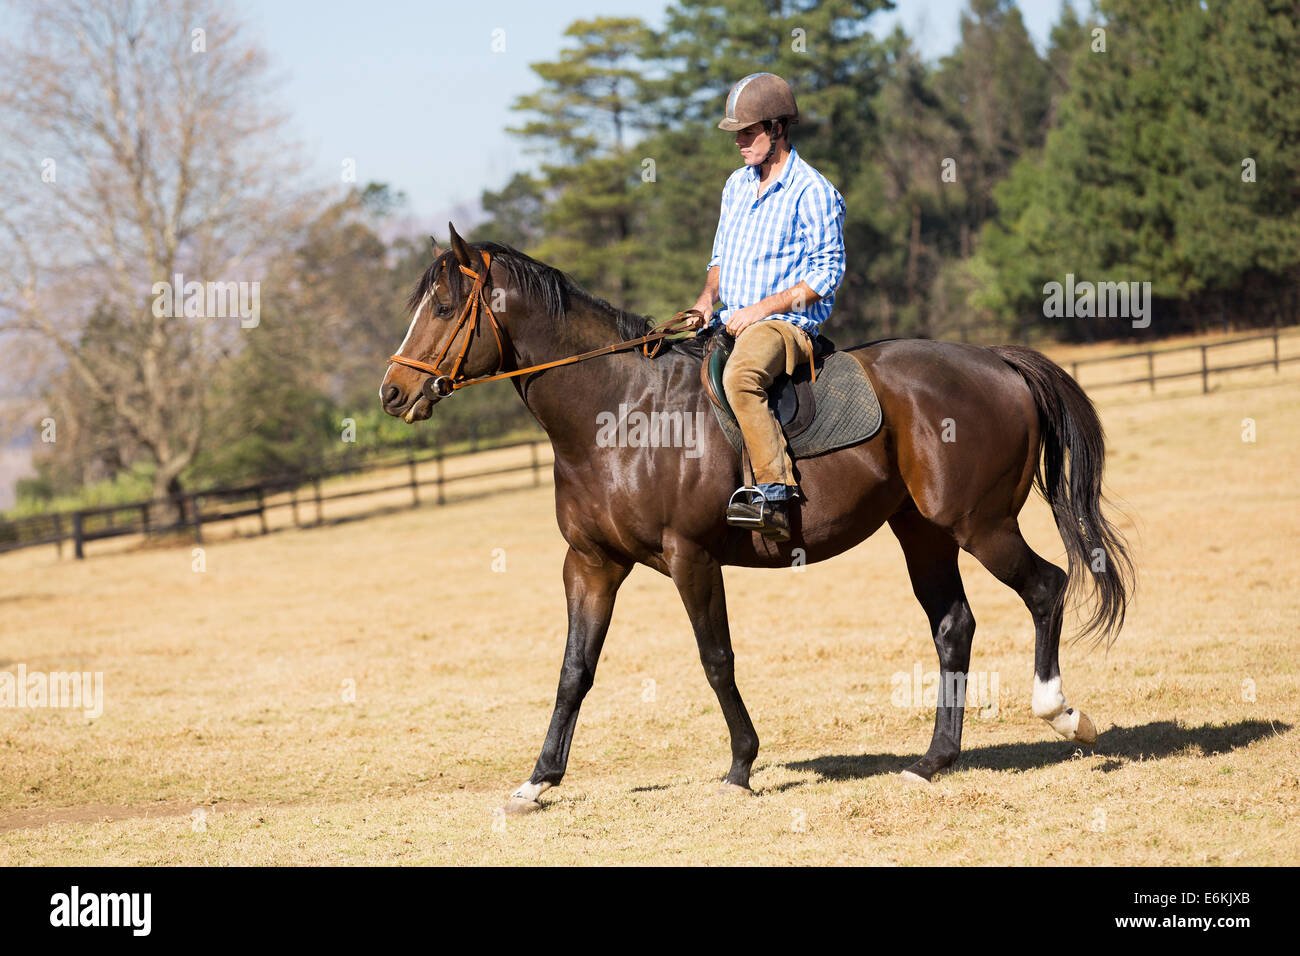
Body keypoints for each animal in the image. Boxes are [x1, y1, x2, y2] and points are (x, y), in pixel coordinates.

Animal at [380, 224, 1135, 813]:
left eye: (443, 306)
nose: (392, 392)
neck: (618, 413)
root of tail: (994, 360)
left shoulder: (689, 556)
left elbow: (716, 660)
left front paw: (741, 766)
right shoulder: (592, 564)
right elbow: (575, 669)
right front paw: (538, 781)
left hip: (980, 524)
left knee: (1045, 587)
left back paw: (1063, 715)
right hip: (923, 532)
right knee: (954, 626)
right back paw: (932, 762)